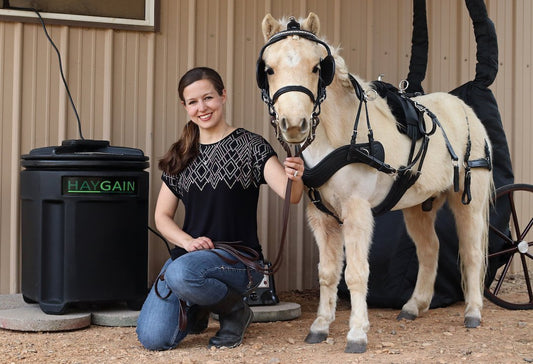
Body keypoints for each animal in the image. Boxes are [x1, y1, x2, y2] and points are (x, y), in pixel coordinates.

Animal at [256, 13, 492, 352]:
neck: (341, 137)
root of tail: (465, 109)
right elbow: (327, 273)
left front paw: (357, 333)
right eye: (269, 69)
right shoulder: (321, 217)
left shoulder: (357, 211)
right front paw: (320, 326)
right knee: (429, 249)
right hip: (417, 207)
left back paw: (473, 312)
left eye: (317, 68)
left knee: (471, 252)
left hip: (467, 202)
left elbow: (355, 273)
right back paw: (414, 306)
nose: (294, 125)